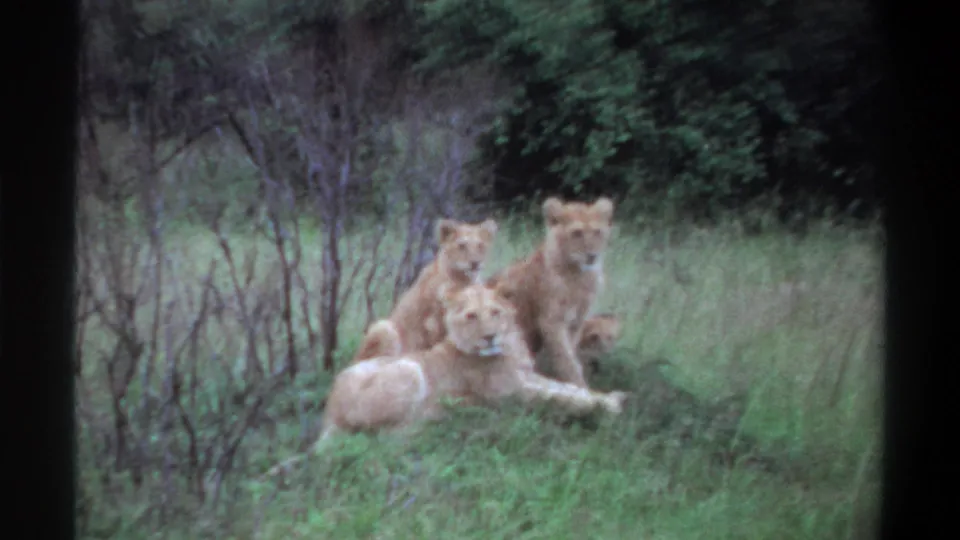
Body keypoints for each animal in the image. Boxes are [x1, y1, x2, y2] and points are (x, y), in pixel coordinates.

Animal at [265, 283, 628, 478]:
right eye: (471, 316)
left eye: (495, 312)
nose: (489, 337)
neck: (510, 346)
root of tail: (328, 410)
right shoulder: (513, 393)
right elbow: (561, 398)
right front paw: (609, 407)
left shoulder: (528, 376)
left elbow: (568, 388)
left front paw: (609, 397)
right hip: (408, 369)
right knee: (383, 440)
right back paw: (441, 420)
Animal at [350, 217, 498, 364]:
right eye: (462, 246)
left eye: (480, 246)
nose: (475, 263)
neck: (465, 279)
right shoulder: (434, 323)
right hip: (384, 328)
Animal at [487, 197, 614, 388]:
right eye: (577, 233)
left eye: (597, 232)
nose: (592, 256)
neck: (579, 275)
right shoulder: (551, 321)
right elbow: (566, 359)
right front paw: (580, 387)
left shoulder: (576, 321)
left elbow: (571, 353)